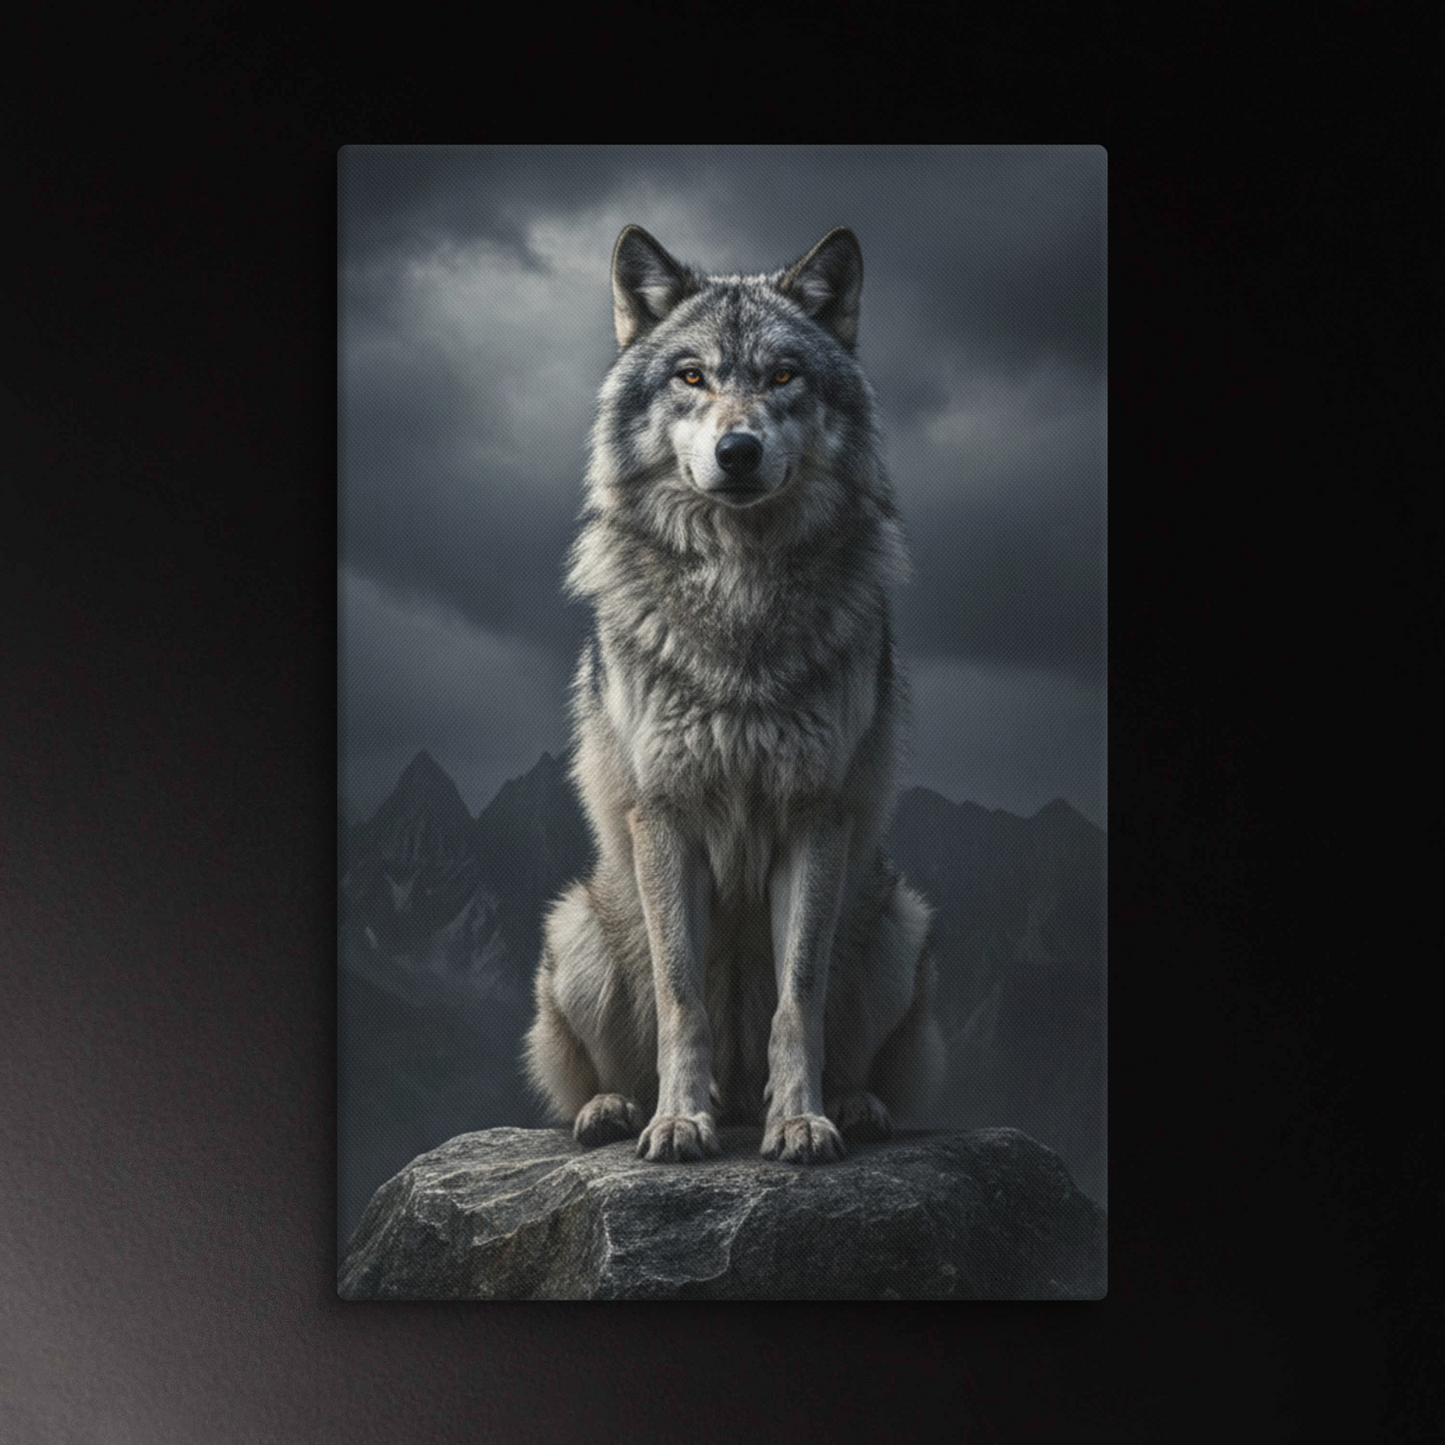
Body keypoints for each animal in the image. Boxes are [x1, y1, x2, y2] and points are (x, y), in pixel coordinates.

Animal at [521, 224, 946, 1164]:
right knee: (607, 1069)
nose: (739, 450)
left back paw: (848, 1103)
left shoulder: (813, 813)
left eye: (783, 376)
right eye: (691, 376)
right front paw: (680, 1120)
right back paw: (618, 1109)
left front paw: (802, 1120)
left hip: (897, 924)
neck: (739, 594)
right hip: (576, 930)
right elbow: (682, 1000)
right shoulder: (664, 812)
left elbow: (799, 998)